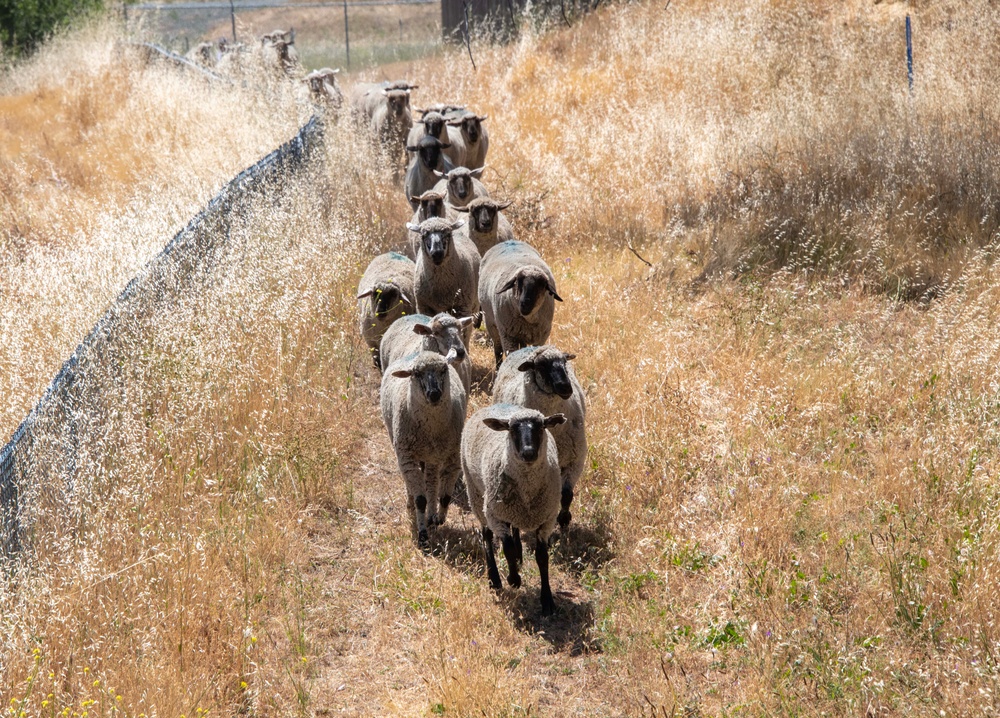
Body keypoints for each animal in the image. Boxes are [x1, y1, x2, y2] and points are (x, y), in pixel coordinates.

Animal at [380, 352, 466, 548]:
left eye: (443, 370)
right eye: (417, 374)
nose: (434, 394)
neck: (431, 429)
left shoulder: (453, 457)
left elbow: (445, 497)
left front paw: (438, 519)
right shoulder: (407, 457)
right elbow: (421, 500)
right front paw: (423, 537)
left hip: (432, 456)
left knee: (432, 481)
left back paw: (432, 515)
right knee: (414, 485)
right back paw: (411, 502)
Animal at [408, 217, 482, 348]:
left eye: (448, 234)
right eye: (423, 235)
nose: (437, 253)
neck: (441, 287)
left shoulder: (462, 308)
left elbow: (464, 333)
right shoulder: (424, 308)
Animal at [458, 402, 564, 616]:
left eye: (541, 427)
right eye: (513, 429)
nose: (528, 452)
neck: (527, 491)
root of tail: (495, 405)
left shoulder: (547, 518)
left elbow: (542, 557)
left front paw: (547, 600)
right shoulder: (496, 514)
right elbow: (506, 548)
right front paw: (513, 579)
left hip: (509, 509)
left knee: (514, 528)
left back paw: (518, 556)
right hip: (477, 497)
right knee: (487, 536)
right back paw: (495, 579)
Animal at [492, 346, 584, 532]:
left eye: (564, 362)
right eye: (540, 366)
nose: (566, 387)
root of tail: (528, 347)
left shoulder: (575, 459)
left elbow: (566, 495)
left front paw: (564, 519)